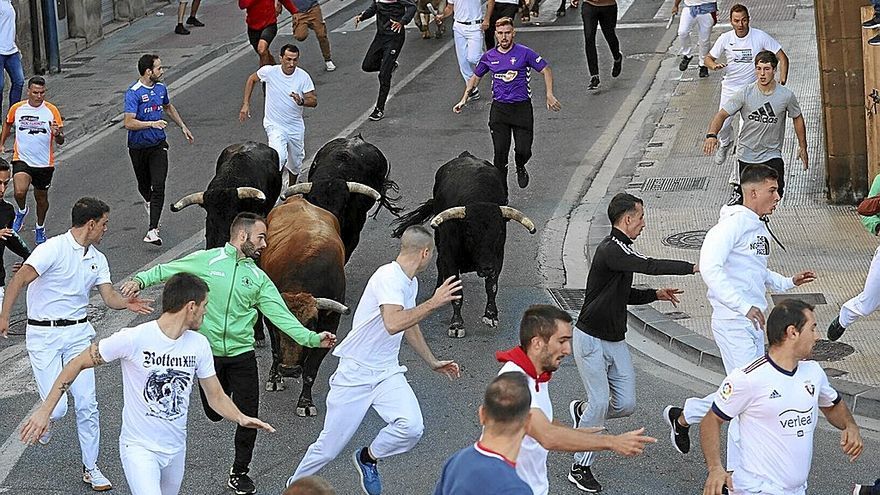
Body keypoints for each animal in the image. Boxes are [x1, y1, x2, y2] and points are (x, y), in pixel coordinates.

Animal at [394, 151, 536, 338]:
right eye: (470, 233)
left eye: (499, 233)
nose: (486, 267)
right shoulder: (450, 258)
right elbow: (457, 293)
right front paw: (456, 325)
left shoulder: (497, 258)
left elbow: (492, 287)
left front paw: (491, 316)